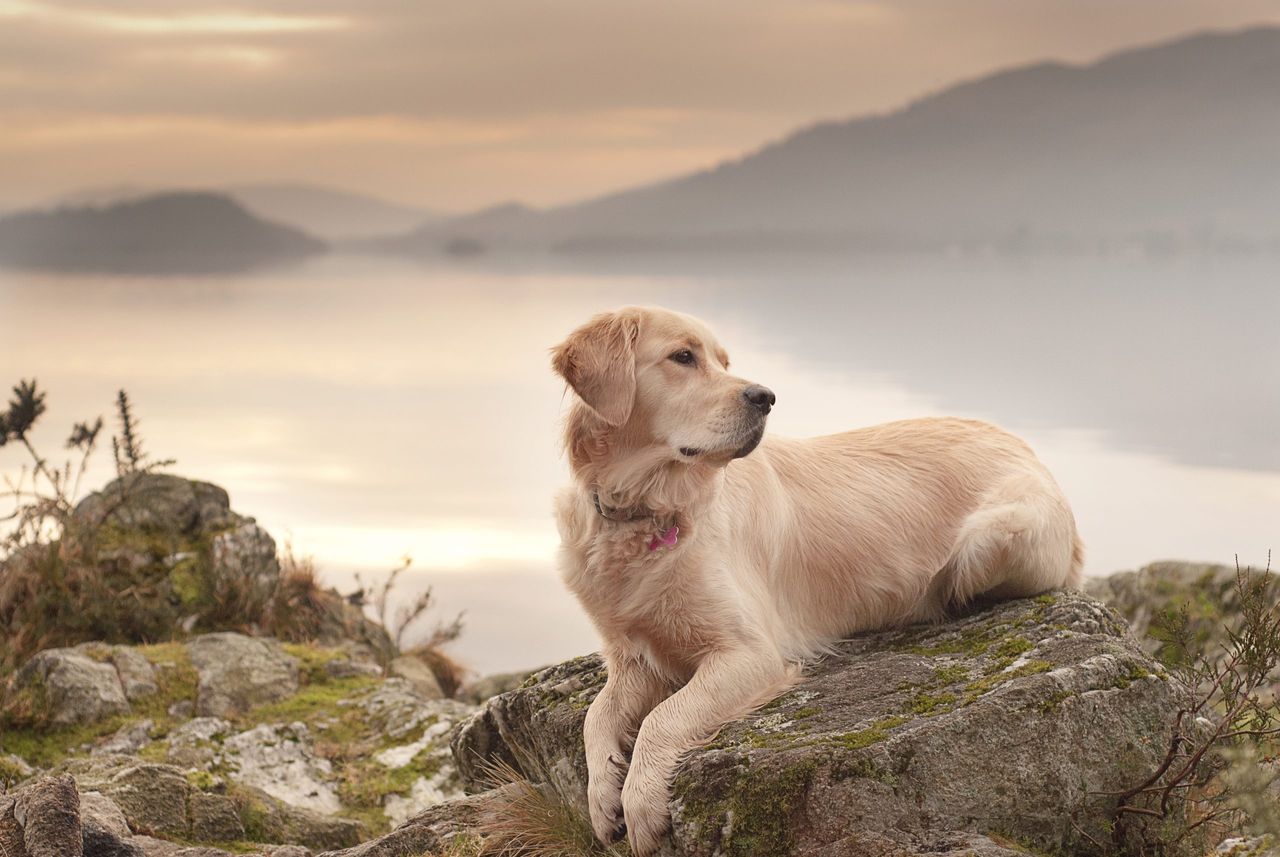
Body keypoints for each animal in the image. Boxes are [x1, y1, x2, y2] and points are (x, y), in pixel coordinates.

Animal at [550, 305, 1080, 854]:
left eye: (723, 361)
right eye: (682, 357)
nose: (765, 397)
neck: (642, 510)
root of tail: (1023, 443)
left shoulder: (750, 654)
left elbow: (663, 717)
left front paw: (641, 802)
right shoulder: (635, 655)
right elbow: (596, 715)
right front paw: (602, 794)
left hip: (990, 538)